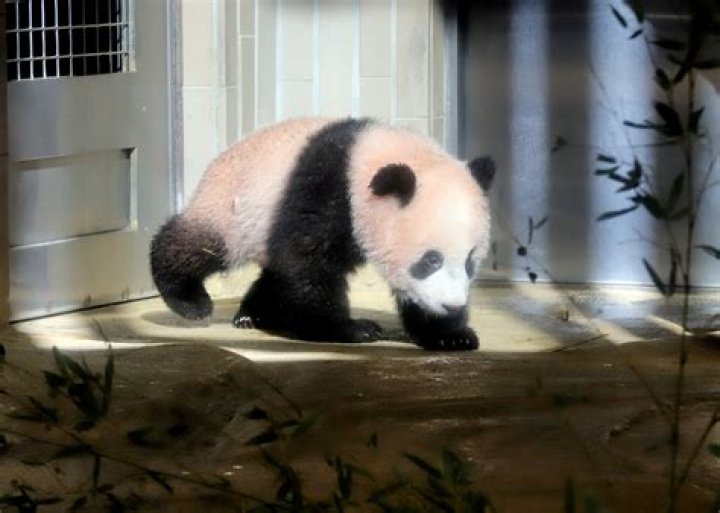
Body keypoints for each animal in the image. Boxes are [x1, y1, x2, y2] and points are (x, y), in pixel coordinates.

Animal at [150, 117, 495, 351]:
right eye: (430, 260)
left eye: (470, 262)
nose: (452, 305)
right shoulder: (325, 189)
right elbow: (307, 264)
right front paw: (350, 329)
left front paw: (450, 334)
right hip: (230, 209)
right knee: (198, 245)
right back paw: (189, 300)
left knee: (273, 270)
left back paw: (254, 313)